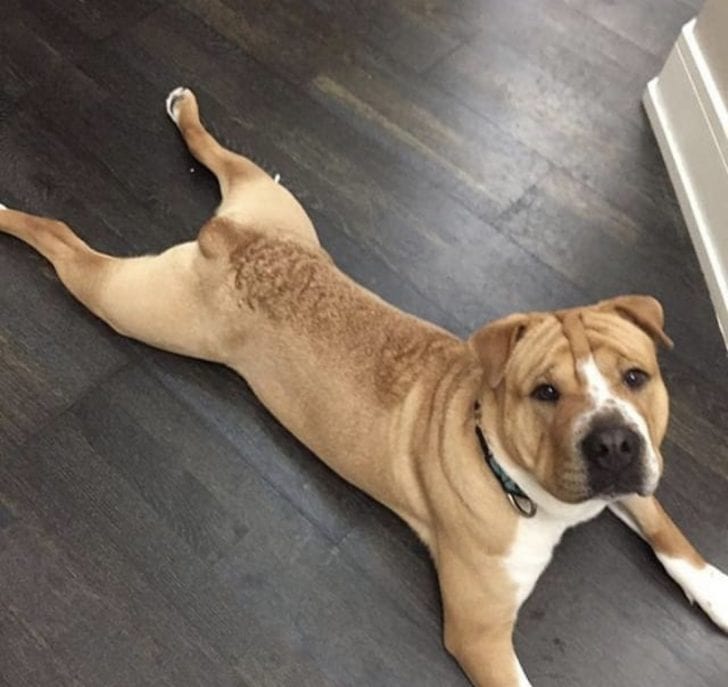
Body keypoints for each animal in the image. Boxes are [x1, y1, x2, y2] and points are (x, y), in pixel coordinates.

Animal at [1, 87, 728, 687]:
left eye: (636, 377)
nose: (612, 443)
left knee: (222, 158)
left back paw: (187, 113)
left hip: (272, 204)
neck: (508, 466)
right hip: (138, 305)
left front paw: (716, 589)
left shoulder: (631, 476)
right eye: (544, 393)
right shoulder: (479, 634)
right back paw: (9, 213)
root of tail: (230, 239)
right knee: (61, 239)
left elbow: (666, 527)